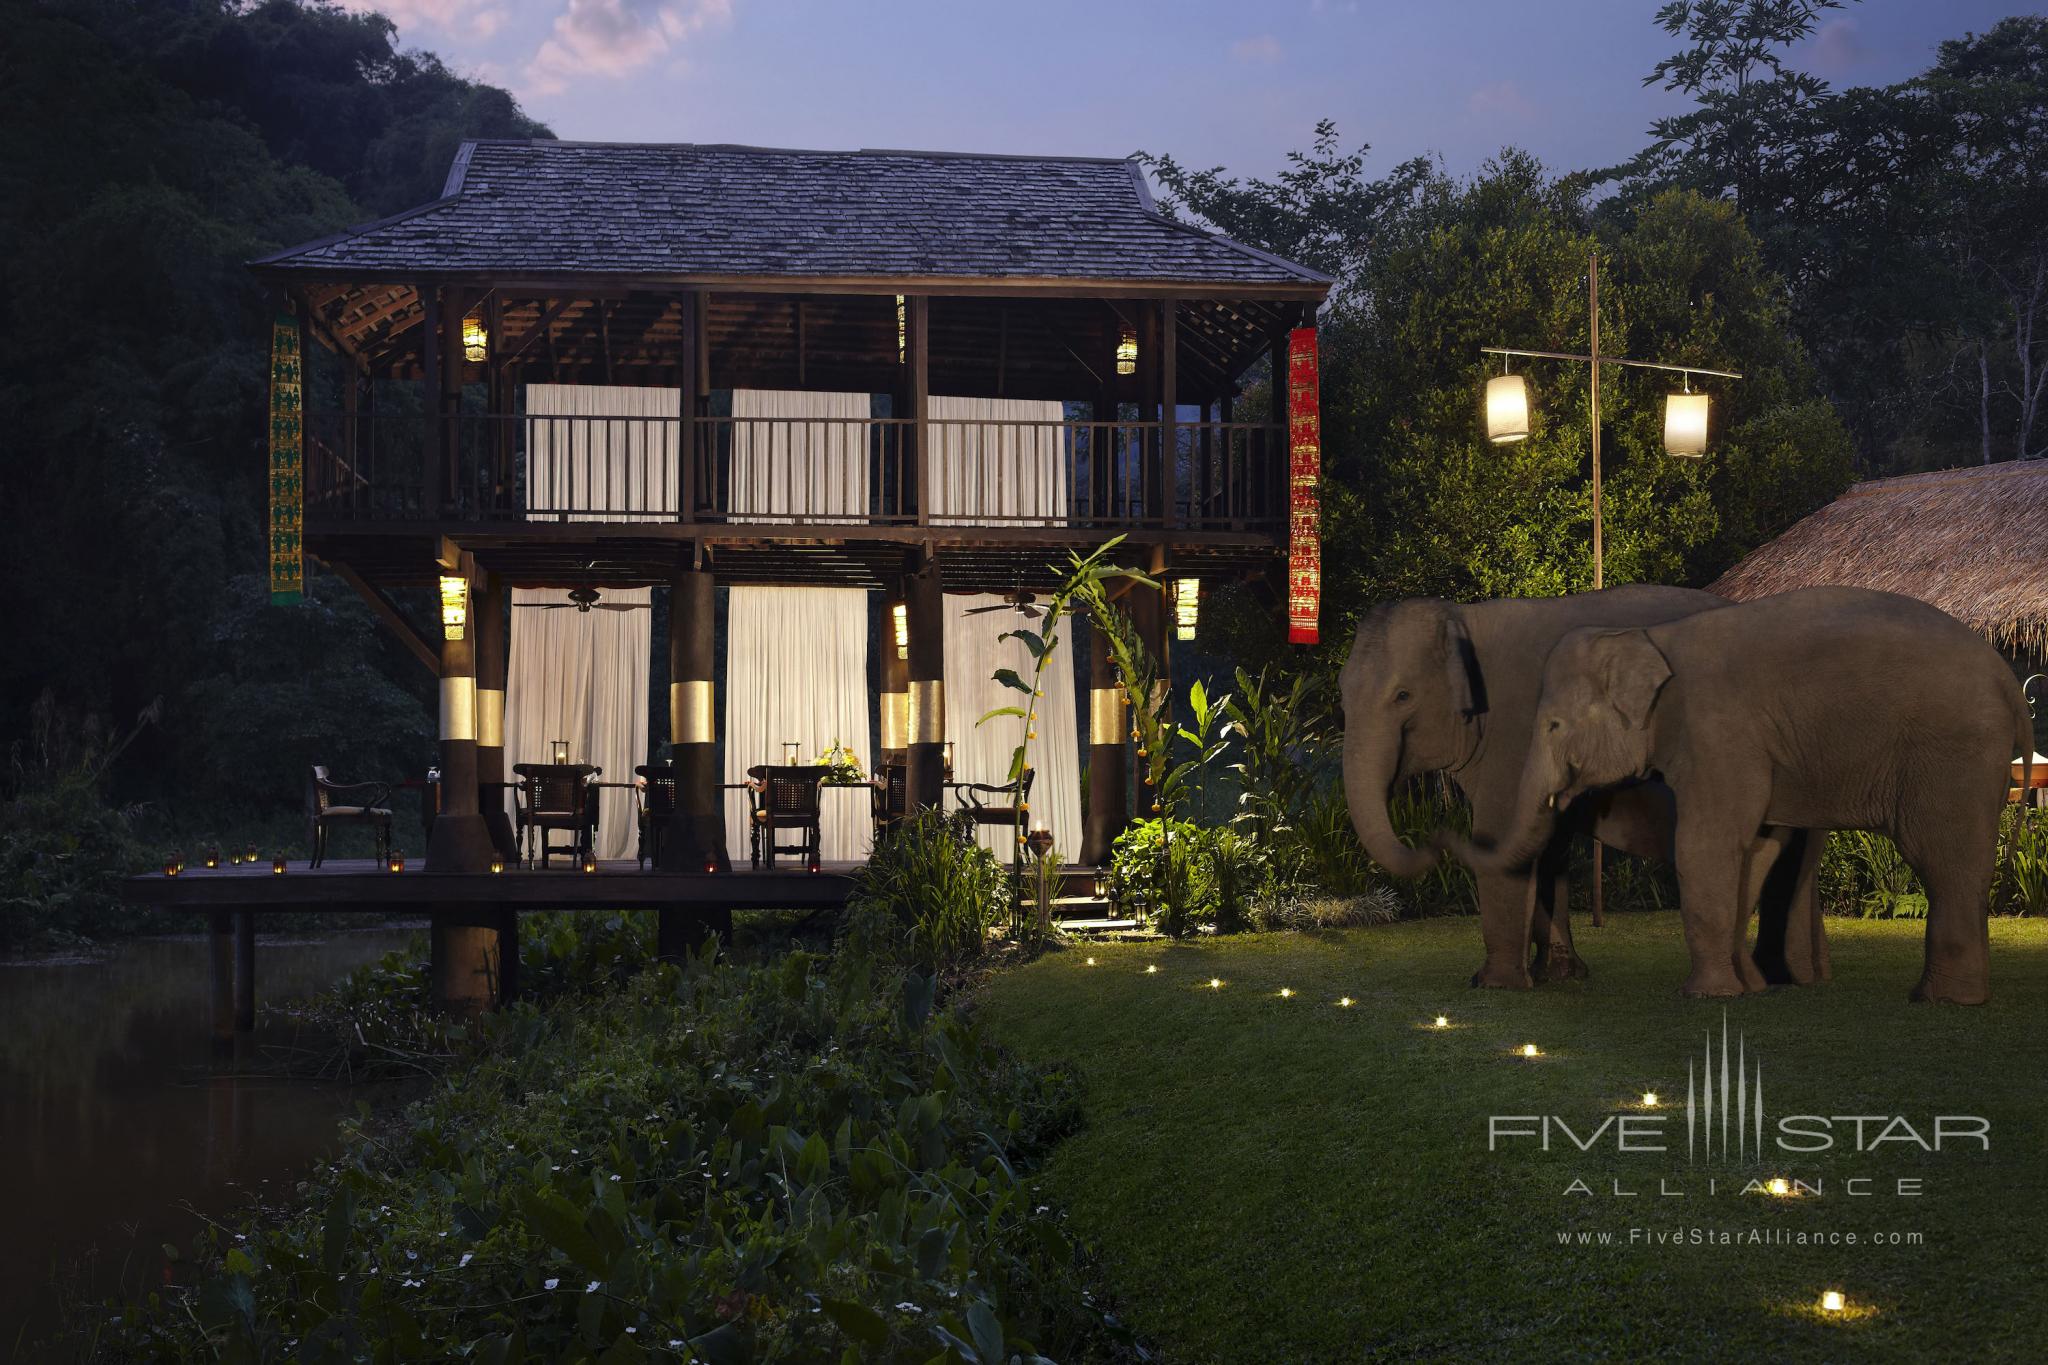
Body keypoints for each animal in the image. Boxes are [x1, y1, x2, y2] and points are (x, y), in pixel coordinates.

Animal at [1335, 589, 1835, 994]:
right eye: (1341, 693)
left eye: (1402, 696)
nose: (1432, 842)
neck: (1465, 616)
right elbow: (1548, 847)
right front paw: (1560, 975)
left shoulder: (1516, 737)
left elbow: (1502, 838)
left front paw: (1493, 984)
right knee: (1798, 859)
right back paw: (1795, 977)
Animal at [1458, 589, 2031, 1002]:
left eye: (1553, 725)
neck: (1649, 639)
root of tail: (2010, 681)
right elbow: (1758, 850)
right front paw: (1745, 989)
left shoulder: (1719, 733)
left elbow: (1706, 846)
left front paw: (1704, 995)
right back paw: (1952, 997)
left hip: (1953, 754)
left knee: (1942, 859)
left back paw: (1940, 1000)